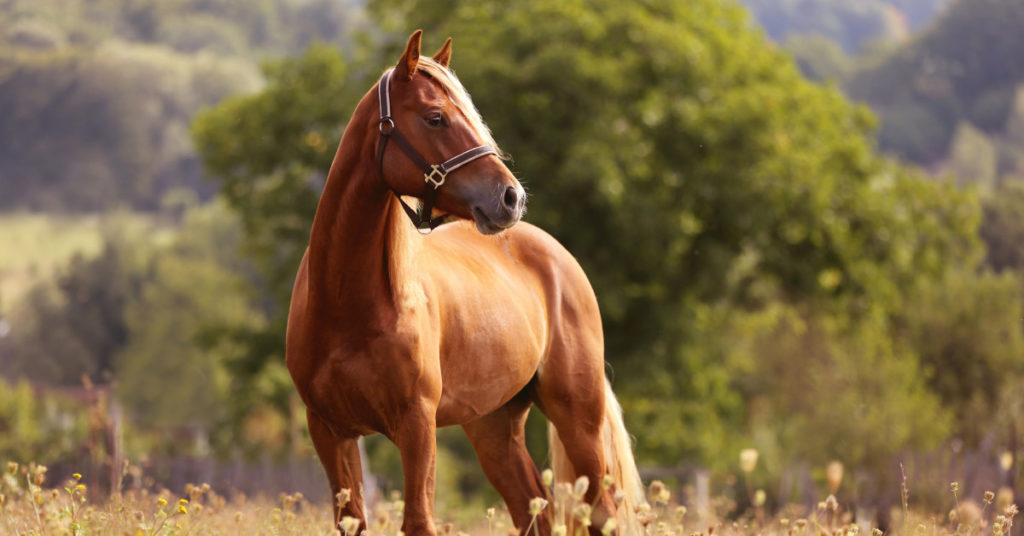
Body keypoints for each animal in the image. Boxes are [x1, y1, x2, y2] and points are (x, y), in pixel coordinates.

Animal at [285, 30, 644, 535]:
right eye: (435, 117)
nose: (511, 197)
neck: (347, 305)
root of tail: (560, 258)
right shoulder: (329, 430)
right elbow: (351, 520)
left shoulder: (416, 425)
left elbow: (419, 520)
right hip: (493, 426)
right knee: (533, 508)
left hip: (578, 418)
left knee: (602, 510)